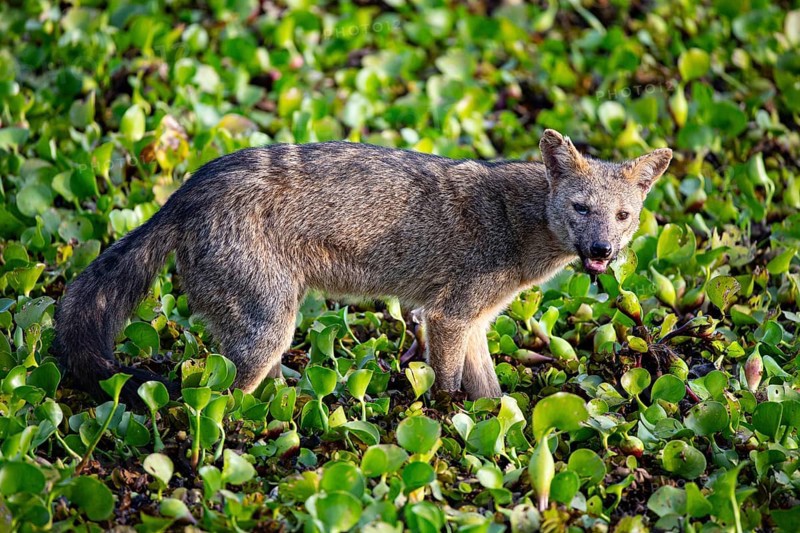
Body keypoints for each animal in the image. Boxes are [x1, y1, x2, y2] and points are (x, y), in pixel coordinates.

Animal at [54, 129, 672, 403]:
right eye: (581, 209)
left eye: (622, 216)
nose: (602, 252)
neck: (519, 221)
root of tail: (185, 190)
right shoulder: (448, 318)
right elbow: (448, 392)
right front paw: (445, 430)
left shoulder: (473, 322)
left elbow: (492, 397)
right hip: (268, 332)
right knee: (212, 401)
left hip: (268, 335)